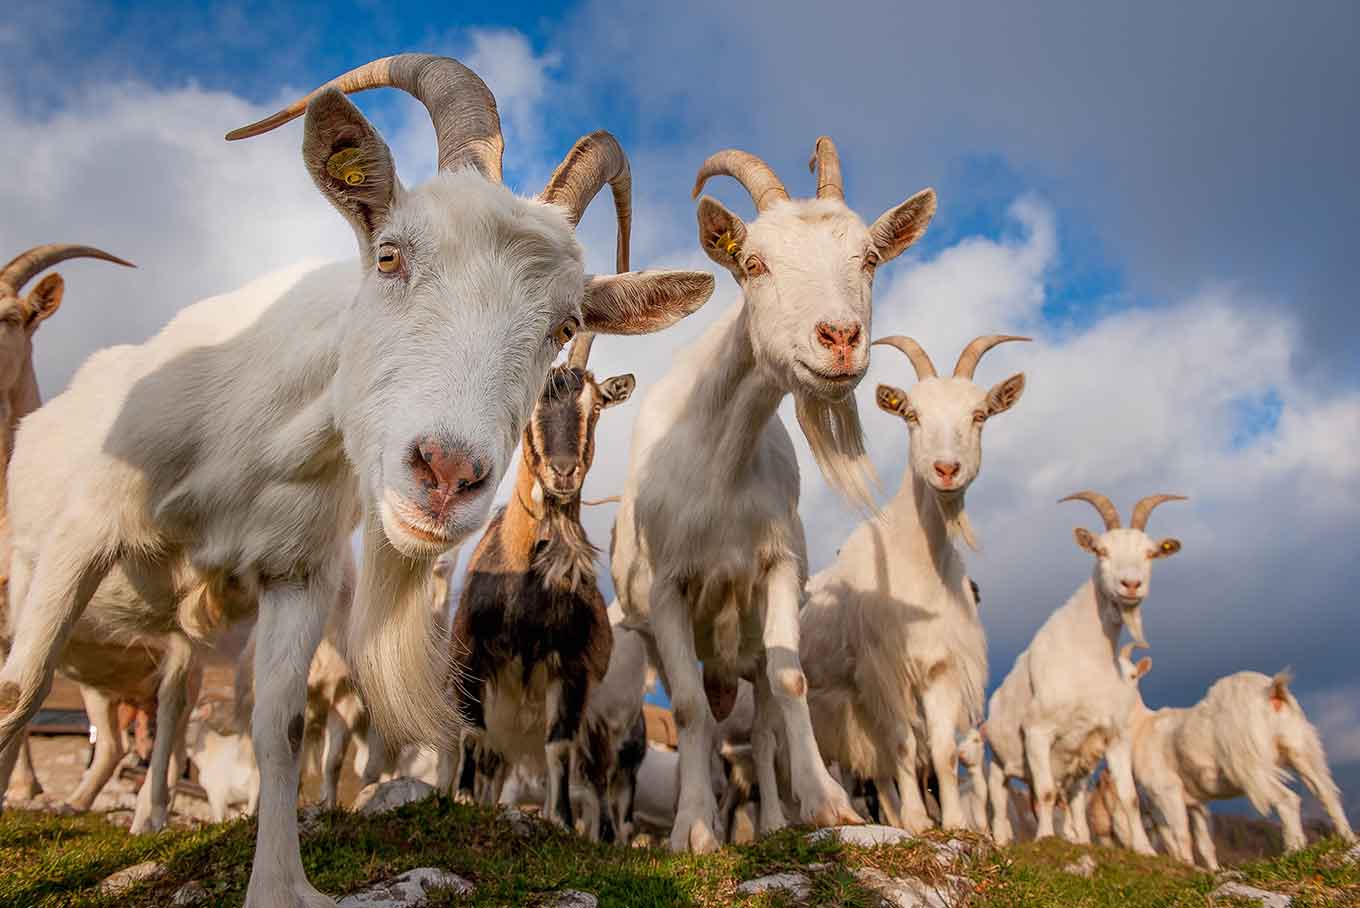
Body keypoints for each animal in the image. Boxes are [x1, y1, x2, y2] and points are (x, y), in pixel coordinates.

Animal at [451, 331, 638, 840]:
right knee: (492, 758)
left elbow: (559, 747)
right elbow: (472, 733)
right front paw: (461, 799)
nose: (563, 470)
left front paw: (562, 820)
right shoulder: (472, 653)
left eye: (596, 407)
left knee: (594, 778)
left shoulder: (572, 669)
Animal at [611, 137, 936, 852]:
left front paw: (827, 803)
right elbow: (687, 709)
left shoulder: (778, 567)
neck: (719, 468)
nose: (839, 339)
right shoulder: (665, 588)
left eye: (869, 258)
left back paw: (773, 821)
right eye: (754, 263)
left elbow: (791, 682)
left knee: (759, 729)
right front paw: (693, 829)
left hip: (750, 647)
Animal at [797, 334, 1027, 832]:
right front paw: (920, 822)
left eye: (979, 415)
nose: (946, 469)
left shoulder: (941, 667)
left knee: (875, 766)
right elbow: (903, 744)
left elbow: (941, 751)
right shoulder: (884, 669)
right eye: (912, 415)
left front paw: (954, 823)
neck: (917, 566)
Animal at [984, 491, 1183, 855]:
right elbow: (1046, 793)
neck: (1088, 660)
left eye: (1150, 553)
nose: (1131, 584)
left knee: (1072, 804)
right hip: (999, 759)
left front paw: (1145, 849)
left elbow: (1129, 798)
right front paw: (1044, 839)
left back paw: (1080, 840)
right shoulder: (1037, 731)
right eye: (1101, 550)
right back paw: (1004, 840)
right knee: (1002, 799)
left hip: (1075, 770)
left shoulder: (1114, 736)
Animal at [1121, 656, 1354, 868]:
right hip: (1300, 747)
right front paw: (1209, 870)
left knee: (1288, 799)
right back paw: (1348, 840)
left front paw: (1187, 866)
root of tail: (1272, 692)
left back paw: (1293, 851)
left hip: (1251, 764)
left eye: (1133, 675)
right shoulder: (1196, 802)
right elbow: (1203, 843)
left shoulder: (1166, 789)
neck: (1141, 726)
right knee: (1326, 793)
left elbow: (1179, 835)